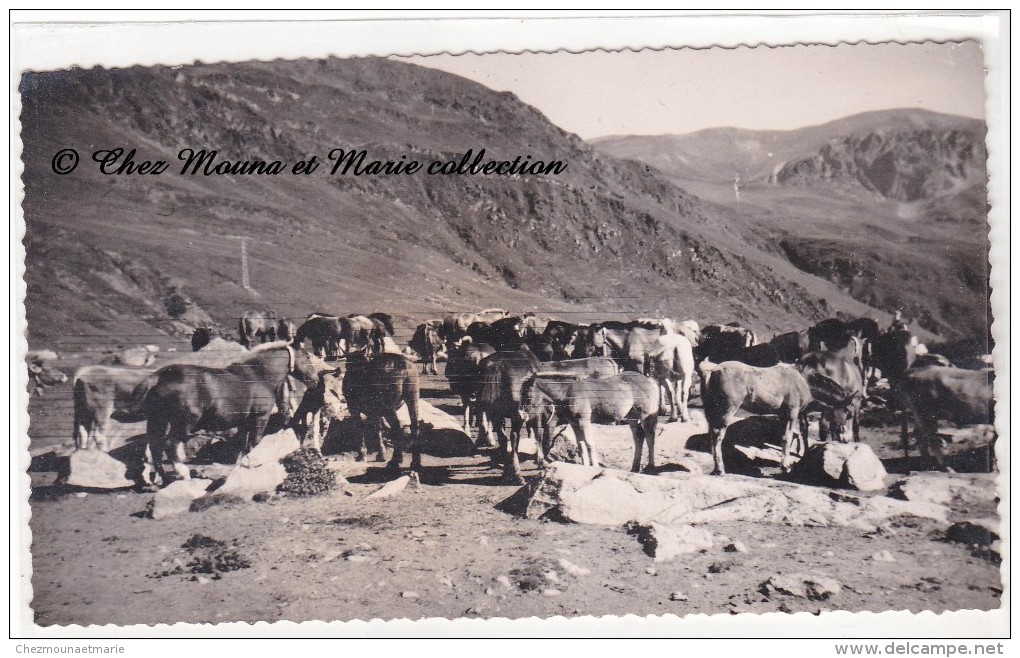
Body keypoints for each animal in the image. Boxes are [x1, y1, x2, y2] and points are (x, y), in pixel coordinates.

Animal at [137, 340, 316, 485]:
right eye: (307, 356)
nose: (315, 379)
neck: (259, 375)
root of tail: (159, 376)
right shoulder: (260, 418)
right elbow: (255, 443)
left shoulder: (245, 423)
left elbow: (242, 447)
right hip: (184, 422)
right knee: (169, 444)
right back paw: (183, 474)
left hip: (159, 420)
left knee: (155, 447)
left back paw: (160, 478)